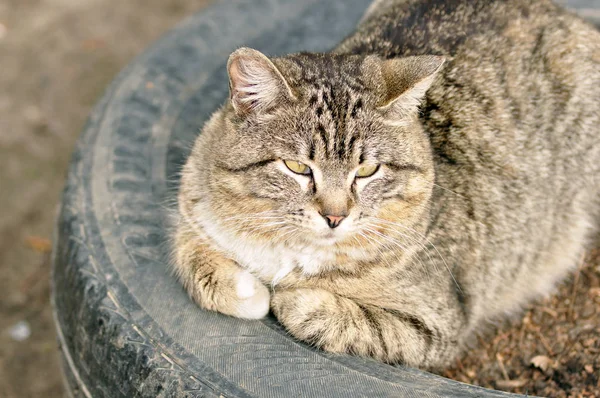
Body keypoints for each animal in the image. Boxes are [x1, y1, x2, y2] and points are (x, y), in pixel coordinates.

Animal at [171, 0, 596, 368]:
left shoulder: (435, 324)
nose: (335, 217)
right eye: (297, 167)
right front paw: (249, 290)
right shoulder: (192, 204)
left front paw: (288, 297)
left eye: (367, 171)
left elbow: (347, 320)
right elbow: (191, 257)